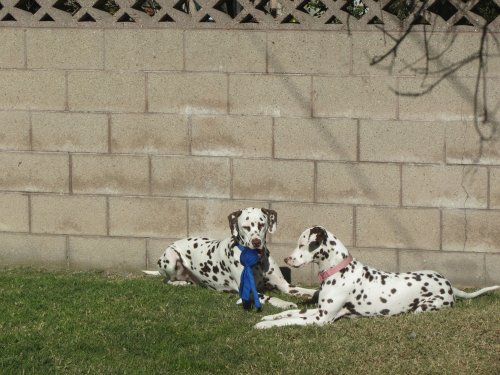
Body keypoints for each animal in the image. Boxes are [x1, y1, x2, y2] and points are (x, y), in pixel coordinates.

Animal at [145, 207, 314, 310]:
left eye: (261, 224)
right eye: (245, 227)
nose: (256, 242)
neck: (256, 260)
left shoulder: (286, 286)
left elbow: (306, 291)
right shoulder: (248, 291)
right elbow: (270, 298)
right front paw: (285, 303)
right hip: (171, 258)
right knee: (167, 280)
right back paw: (181, 283)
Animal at [256, 226, 498, 328]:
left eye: (302, 244)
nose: (286, 259)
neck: (338, 270)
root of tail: (448, 284)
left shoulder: (321, 319)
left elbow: (290, 320)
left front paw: (264, 326)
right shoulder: (318, 310)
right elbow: (290, 312)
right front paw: (268, 317)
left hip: (423, 308)